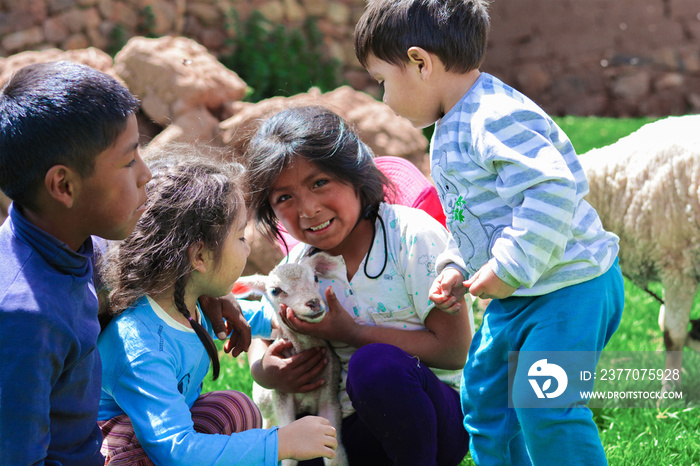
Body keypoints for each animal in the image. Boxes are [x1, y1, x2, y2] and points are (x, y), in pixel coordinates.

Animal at [235, 253, 348, 464]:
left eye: (315, 278)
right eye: (275, 291)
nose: (313, 303)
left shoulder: (330, 396)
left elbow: (335, 455)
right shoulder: (282, 398)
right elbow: (289, 453)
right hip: (263, 398)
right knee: (267, 420)